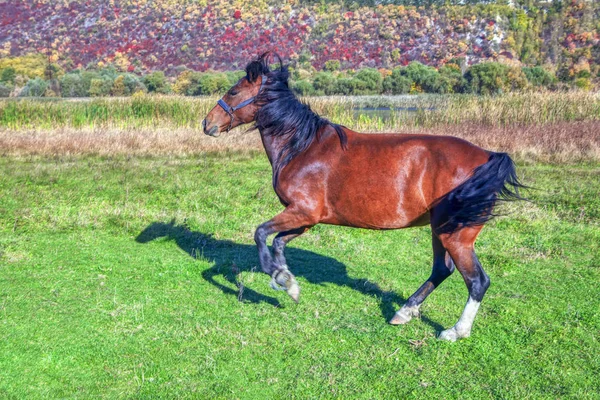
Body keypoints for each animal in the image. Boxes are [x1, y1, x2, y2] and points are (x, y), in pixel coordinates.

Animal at [203, 52, 524, 340]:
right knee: (441, 270)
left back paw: (455, 331)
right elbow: (279, 242)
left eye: (233, 91)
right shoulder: (307, 219)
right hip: (440, 230)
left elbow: (260, 234)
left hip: (456, 236)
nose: (207, 124)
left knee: (477, 281)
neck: (300, 147)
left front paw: (276, 276)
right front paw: (288, 283)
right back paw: (404, 312)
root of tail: (488, 157)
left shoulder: (303, 211)